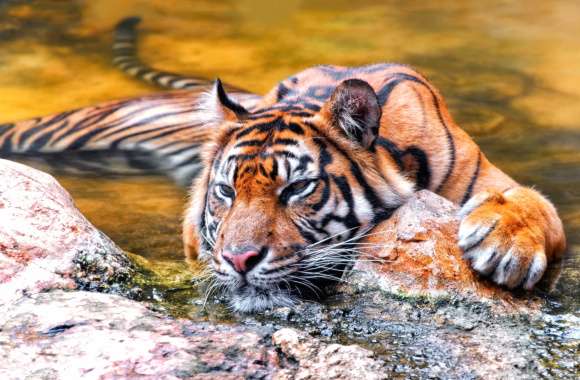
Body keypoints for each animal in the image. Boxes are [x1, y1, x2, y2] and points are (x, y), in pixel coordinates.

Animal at [0, 16, 564, 312]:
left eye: (296, 190)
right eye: (226, 192)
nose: (239, 261)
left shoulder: (489, 178)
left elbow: (535, 204)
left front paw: (507, 250)